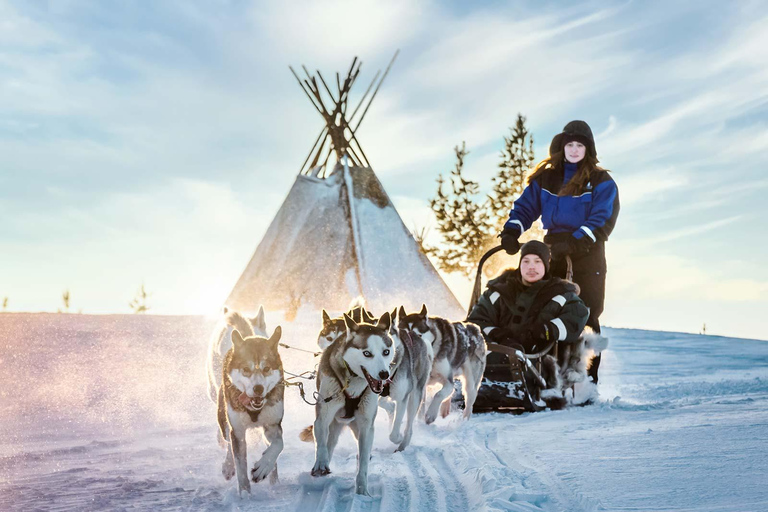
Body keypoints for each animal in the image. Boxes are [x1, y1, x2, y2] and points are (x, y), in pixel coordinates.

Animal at [218, 326, 284, 494]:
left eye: (266, 368)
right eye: (246, 369)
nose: (258, 388)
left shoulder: (272, 425)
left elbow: (278, 444)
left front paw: (263, 467)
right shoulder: (238, 431)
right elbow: (240, 465)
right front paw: (245, 494)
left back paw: (274, 481)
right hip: (224, 420)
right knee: (228, 441)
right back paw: (228, 466)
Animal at [304, 310, 392, 494]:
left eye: (386, 352)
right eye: (367, 353)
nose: (384, 374)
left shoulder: (366, 425)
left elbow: (363, 461)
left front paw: (362, 491)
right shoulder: (323, 416)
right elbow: (321, 443)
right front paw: (320, 462)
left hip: (356, 425)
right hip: (334, 423)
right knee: (329, 442)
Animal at [378, 308, 432, 448]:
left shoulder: (403, 397)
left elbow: (394, 433)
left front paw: (398, 438)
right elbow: (384, 404)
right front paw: (391, 408)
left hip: (415, 396)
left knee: (409, 426)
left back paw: (403, 444)